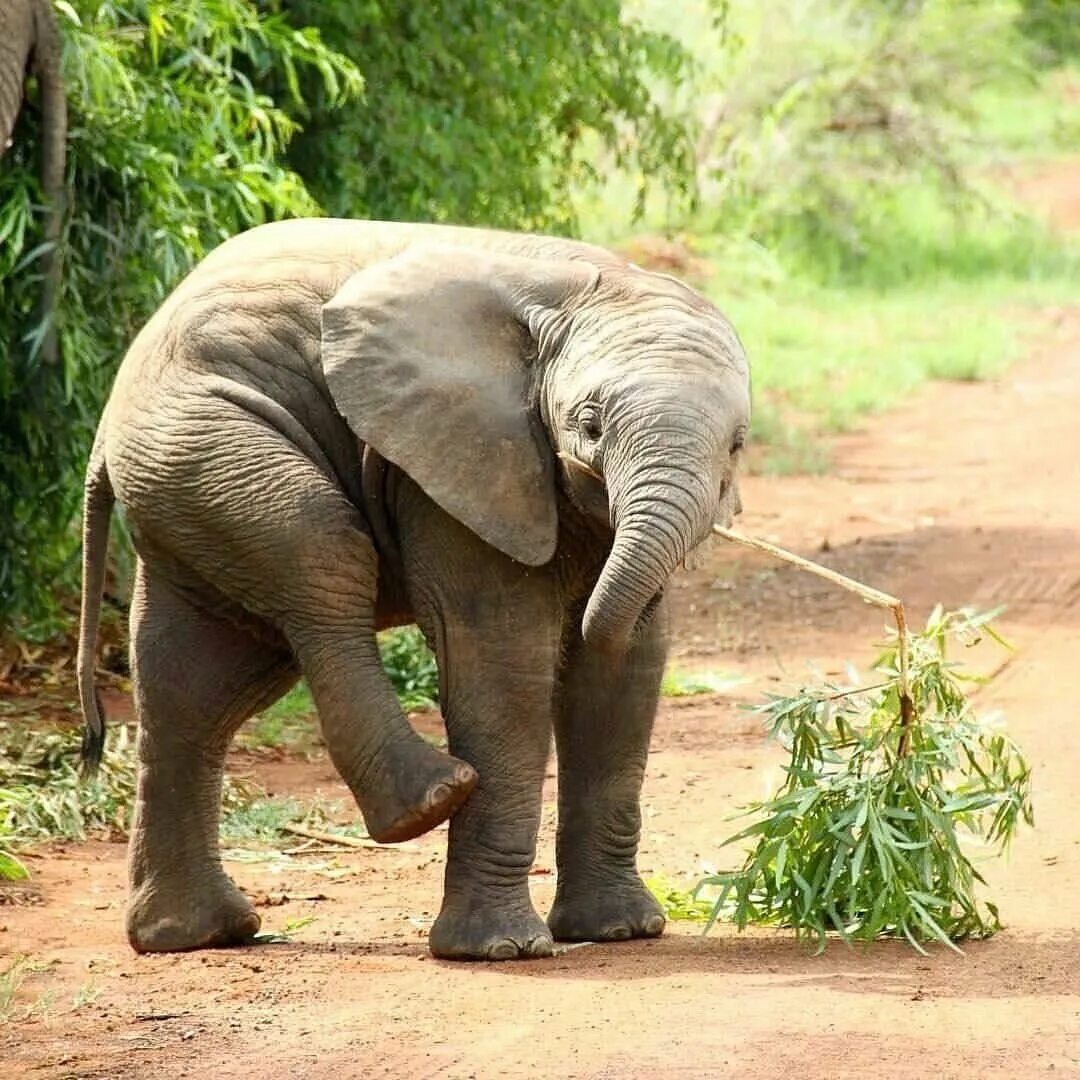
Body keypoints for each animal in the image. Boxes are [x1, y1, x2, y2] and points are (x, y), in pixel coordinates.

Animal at [78, 214, 751, 959]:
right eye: (590, 424)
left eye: (737, 445)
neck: (580, 294)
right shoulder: (459, 461)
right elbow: (502, 657)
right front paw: (501, 952)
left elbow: (625, 671)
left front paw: (619, 932)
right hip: (204, 441)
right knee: (322, 552)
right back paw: (429, 800)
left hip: (185, 477)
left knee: (196, 687)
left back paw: (194, 936)